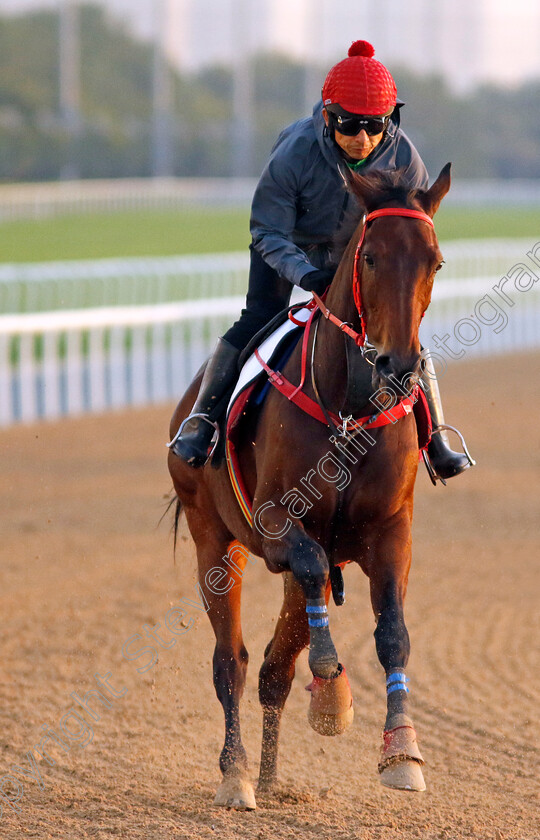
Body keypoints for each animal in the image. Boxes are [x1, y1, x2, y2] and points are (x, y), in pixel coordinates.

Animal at [166, 162, 452, 808]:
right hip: (213, 539)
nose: (399, 365)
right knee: (232, 662)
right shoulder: (276, 523)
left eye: (435, 261)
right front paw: (331, 687)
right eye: (369, 256)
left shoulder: (390, 532)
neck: (348, 408)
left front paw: (402, 753)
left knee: (274, 668)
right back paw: (238, 776)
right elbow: (312, 572)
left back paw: (272, 777)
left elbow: (393, 634)